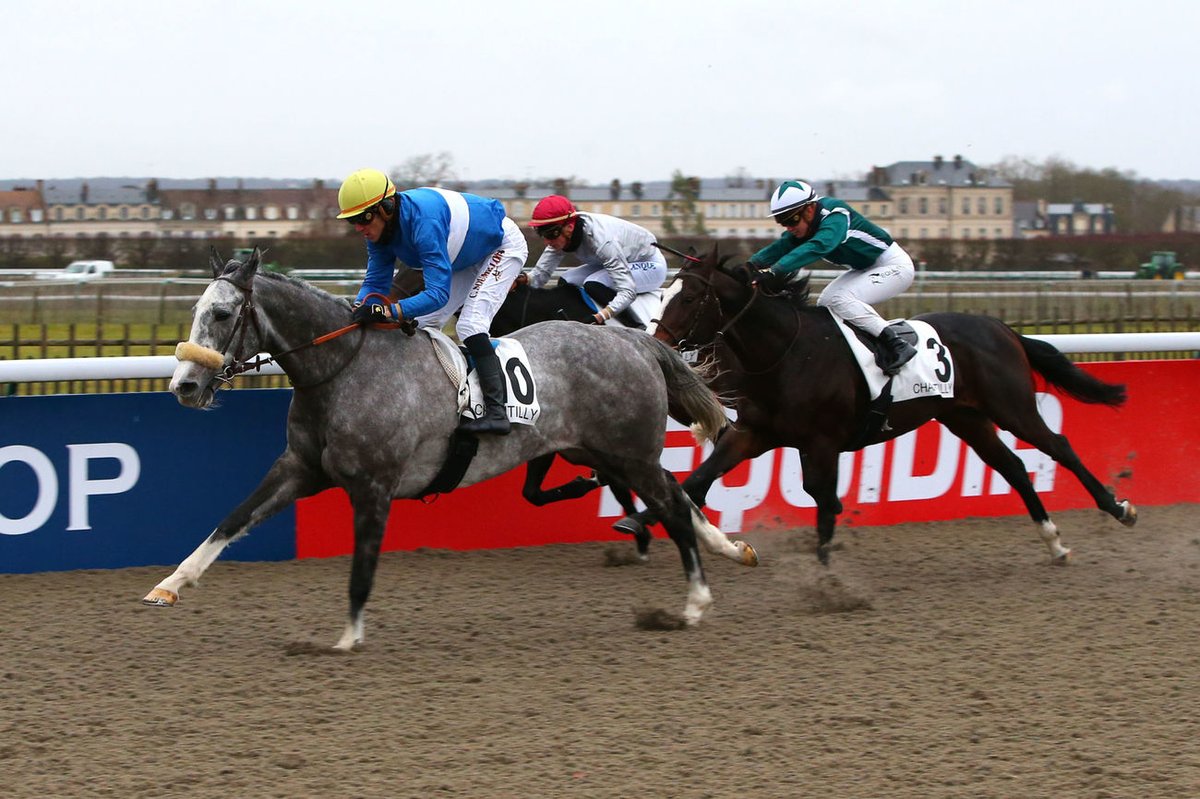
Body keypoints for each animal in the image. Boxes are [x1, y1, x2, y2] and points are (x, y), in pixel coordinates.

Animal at [145, 249, 753, 647]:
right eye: (197, 310)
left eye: (223, 314)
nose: (185, 386)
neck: (342, 371)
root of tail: (632, 339)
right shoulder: (299, 468)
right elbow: (233, 519)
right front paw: (170, 585)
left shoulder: (374, 485)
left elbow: (362, 566)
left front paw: (346, 638)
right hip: (604, 451)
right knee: (674, 492)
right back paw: (728, 549)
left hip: (628, 451)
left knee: (671, 504)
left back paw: (694, 602)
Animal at [624, 250, 1137, 566]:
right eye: (665, 293)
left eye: (690, 297)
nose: (654, 342)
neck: (787, 352)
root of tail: (1003, 328)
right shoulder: (755, 434)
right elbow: (697, 480)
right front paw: (638, 520)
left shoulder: (822, 442)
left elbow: (824, 499)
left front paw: (825, 575)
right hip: (965, 416)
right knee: (1012, 465)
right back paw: (1054, 544)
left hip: (1012, 405)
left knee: (1057, 446)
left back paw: (1119, 508)